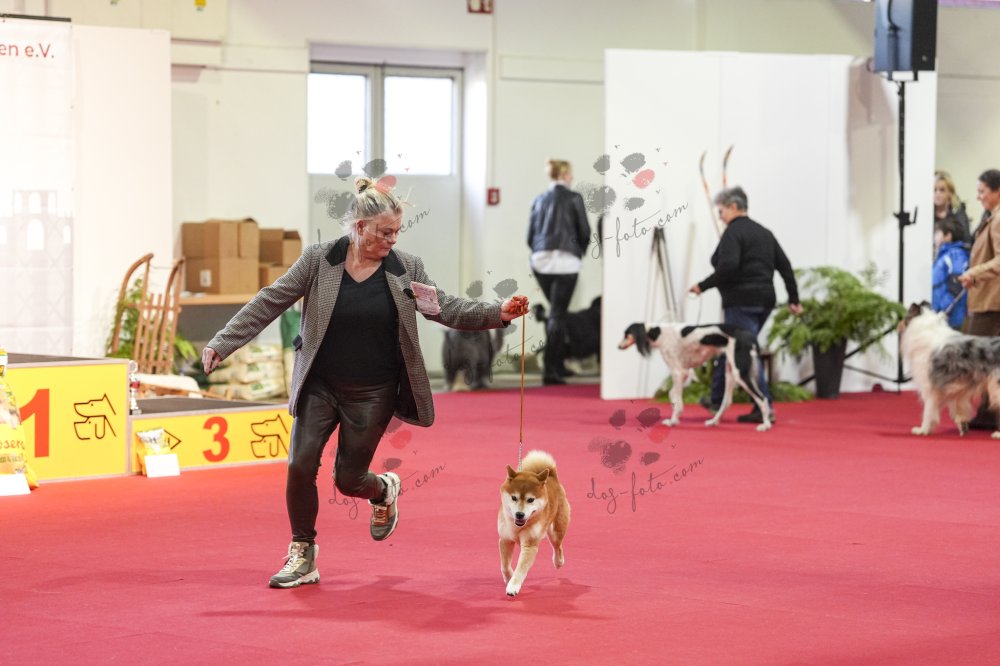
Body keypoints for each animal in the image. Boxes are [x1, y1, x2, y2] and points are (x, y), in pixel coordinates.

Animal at [498, 450, 570, 597]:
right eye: (514, 497)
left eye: (531, 499)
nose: (519, 514)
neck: (517, 527)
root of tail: (552, 477)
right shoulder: (505, 539)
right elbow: (505, 565)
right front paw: (509, 578)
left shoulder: (530, 545)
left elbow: (521, 569)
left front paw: (513, 586)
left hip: (556, 530)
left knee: (558, 546)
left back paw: (558, 562)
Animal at [618, 322, 772, 432]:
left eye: (627, 334)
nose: (618, 346)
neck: (658, 332)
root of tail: (748, 334)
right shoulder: (685, 372)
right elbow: (672, 394)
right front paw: (675, 415)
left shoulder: (679, 372)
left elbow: (676, 399)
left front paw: (672, 421)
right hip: (730, 371)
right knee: (727, 401)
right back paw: (713, 421)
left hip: (739, 373)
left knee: (762, 398)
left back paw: (765, 425)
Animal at [900, 302, 1000, 438]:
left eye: (905, 317)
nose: (898, 325)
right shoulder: (958, 389)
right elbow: (958, 408)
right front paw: (963, 426)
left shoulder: (930, 387)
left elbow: (928, 411)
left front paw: (923, 430)